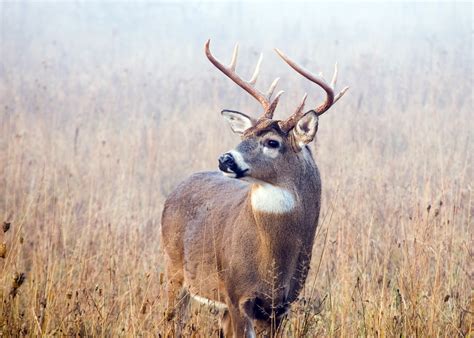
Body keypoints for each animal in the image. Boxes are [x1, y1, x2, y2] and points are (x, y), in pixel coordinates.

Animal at [160, 40, 348, 338]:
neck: (273, 258)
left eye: (272, 142)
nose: (225, 159)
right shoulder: (236, 294)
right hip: (175, 270)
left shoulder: (280, 306)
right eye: (245, 135)